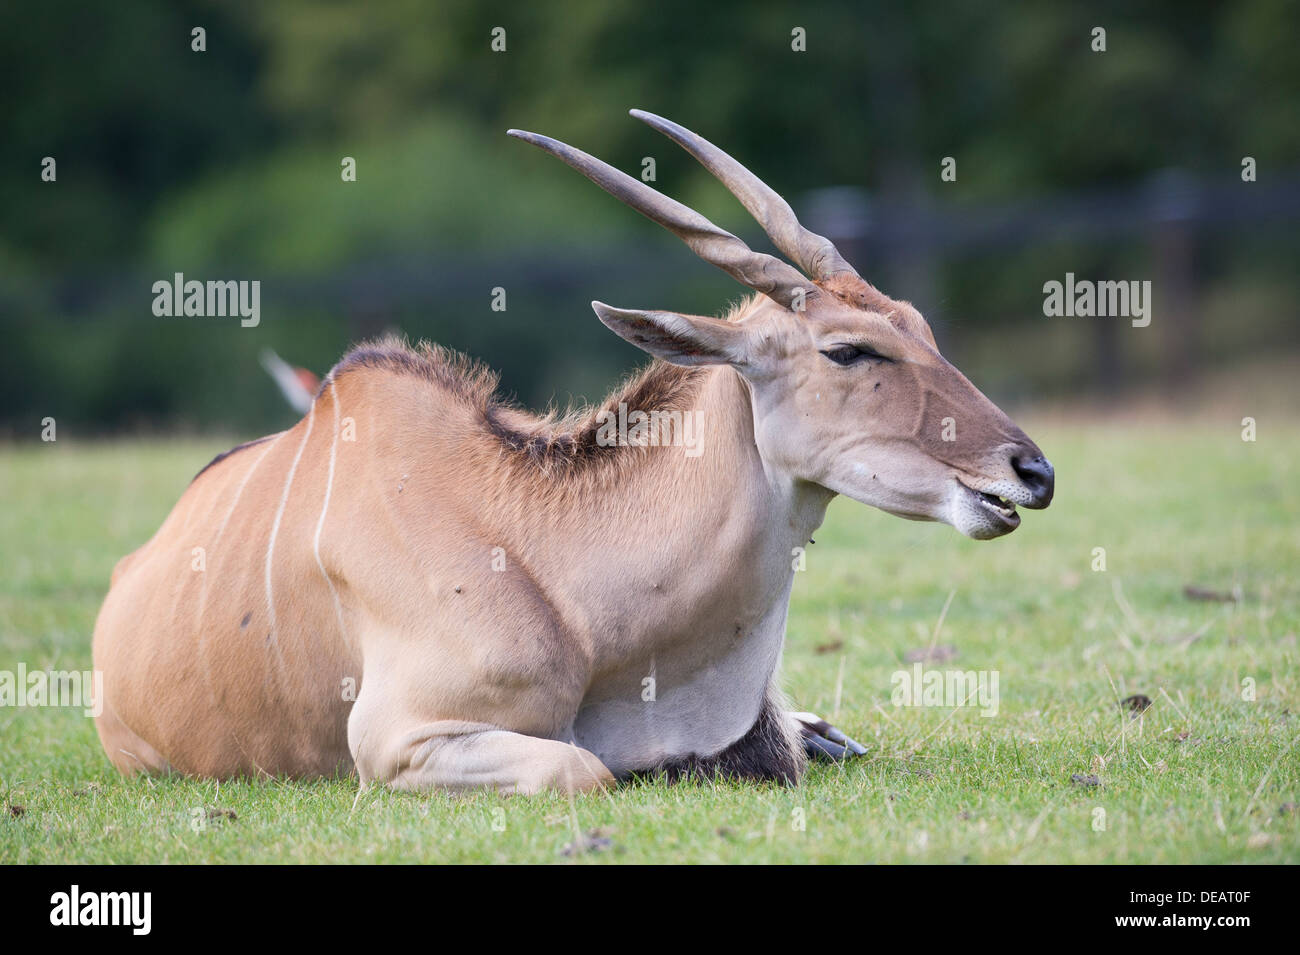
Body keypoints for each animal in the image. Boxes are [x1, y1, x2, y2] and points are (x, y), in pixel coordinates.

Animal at [91, 108, 1050, 795]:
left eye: (921, 328)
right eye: (849, 350)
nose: (1031, 471)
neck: (561, 570)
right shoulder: (397, 742)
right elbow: (584, 768)